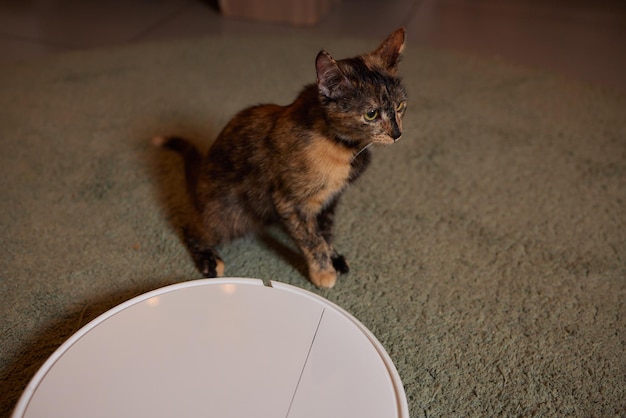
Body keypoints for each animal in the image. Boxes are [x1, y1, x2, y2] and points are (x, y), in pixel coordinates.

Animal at [154, 27, 408, 290]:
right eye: (371, 114)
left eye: (400, 106)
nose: (397, 133)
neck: (343, 146)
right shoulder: (288, 201)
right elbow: (312, 239)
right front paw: (323, 272)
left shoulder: (331, 200)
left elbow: (325, 233)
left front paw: (332, 257)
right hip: (228, 215)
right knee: (192, 227)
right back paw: (208, 260)